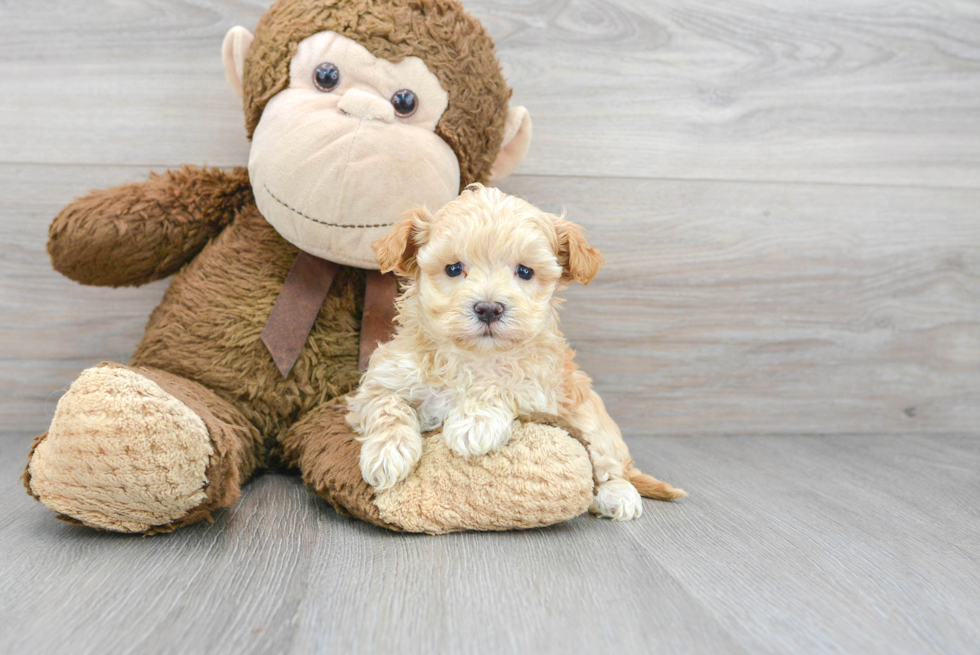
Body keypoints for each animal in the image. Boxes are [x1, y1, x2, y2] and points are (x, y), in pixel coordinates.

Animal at [348, 186, 684, 524]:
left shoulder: (540, 388)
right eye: (453, 269)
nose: (488, 308)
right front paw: (387, 452)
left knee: (607, 464)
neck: (473, 356)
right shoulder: (382, 380)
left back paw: (618, 495)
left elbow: (505, 384)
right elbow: (386, 404)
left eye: (524, 271)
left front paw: (474, 422)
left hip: (591, 418)